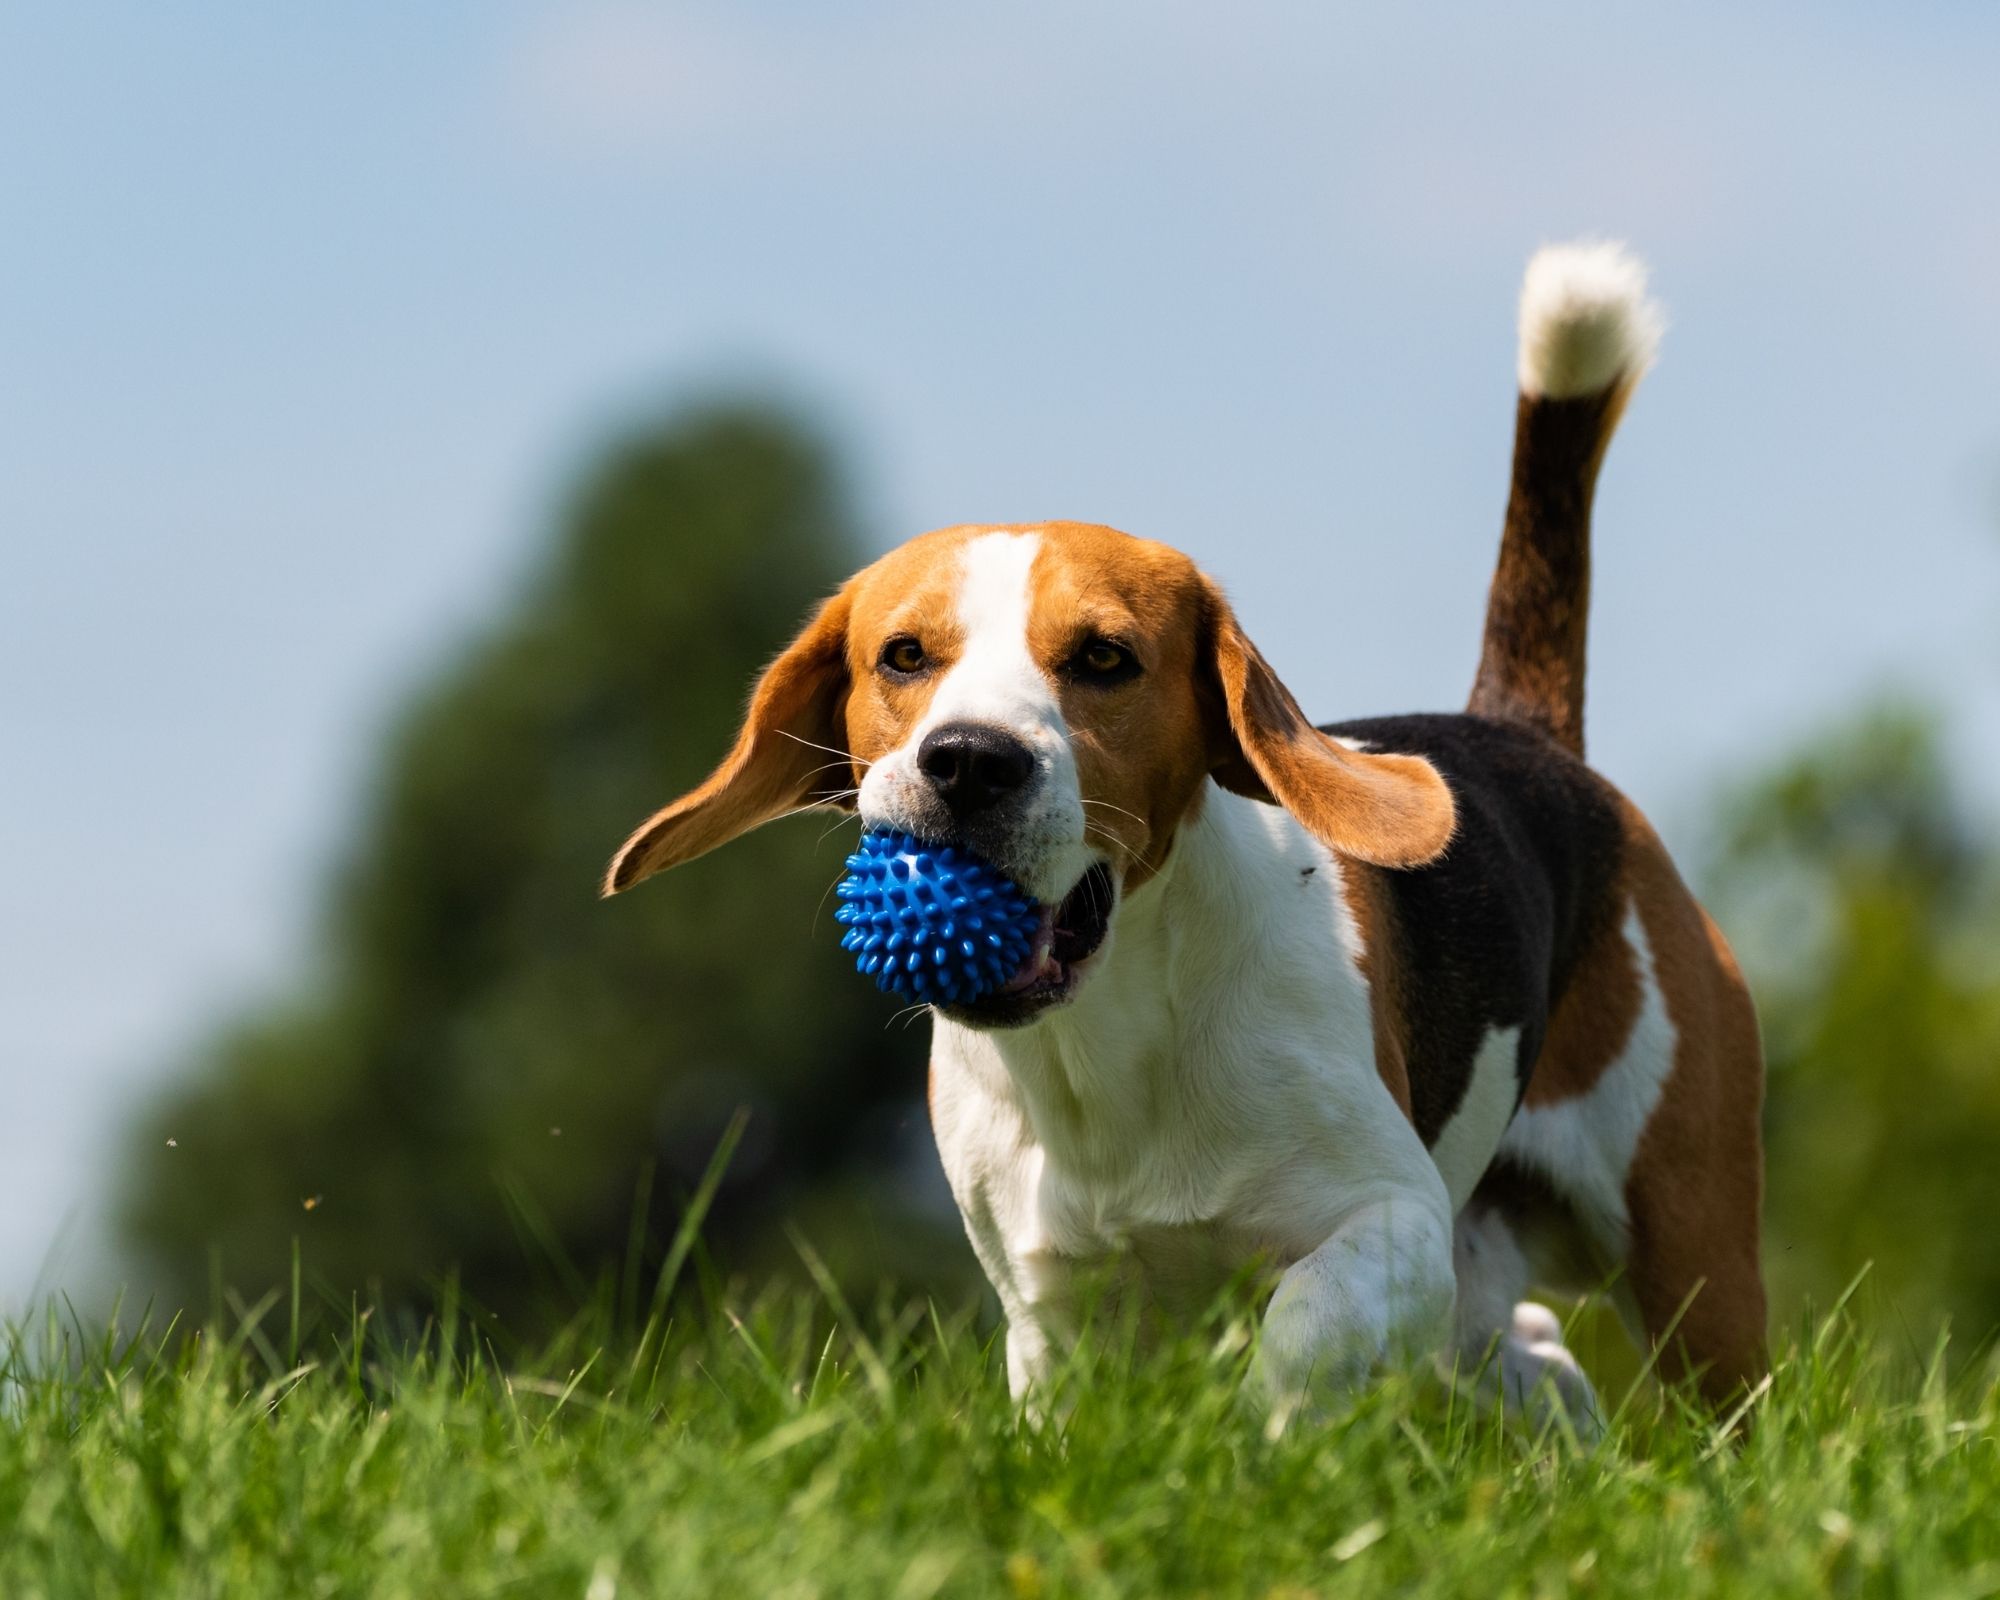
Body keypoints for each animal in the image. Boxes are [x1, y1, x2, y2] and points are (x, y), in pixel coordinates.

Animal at [604, 241, 1768, 1424]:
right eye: (903, 656)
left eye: (1103, 658)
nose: (968, 759)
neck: (1108, 1042)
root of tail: (1524, 733)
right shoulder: (1046, 1309)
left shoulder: (1392, 1219)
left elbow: (1300, 1328)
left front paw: (1263, 1435)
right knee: (1537, 1349)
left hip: (1687, 1248)